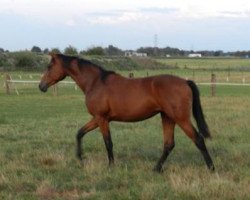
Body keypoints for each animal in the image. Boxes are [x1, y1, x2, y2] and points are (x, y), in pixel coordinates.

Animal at [39, 53, 215, 172]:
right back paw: (156, 169)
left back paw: (211, 168)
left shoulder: (101, 119)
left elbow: (108, 143)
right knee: (169, 144)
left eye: (49, 66)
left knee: (198, 139)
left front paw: (110, 166)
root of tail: (185, 81)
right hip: (167, 117)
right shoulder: (98, 119)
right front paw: (80, 157)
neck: (95, 82)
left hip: (181, 118)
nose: (41, 86)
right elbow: (80, 133)